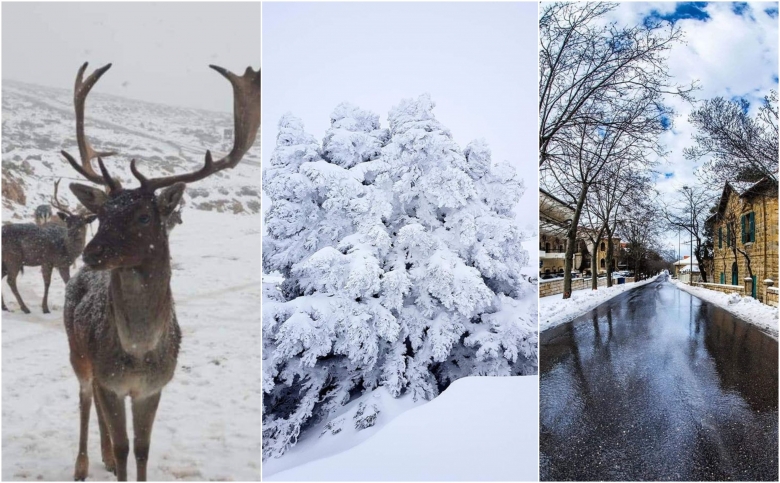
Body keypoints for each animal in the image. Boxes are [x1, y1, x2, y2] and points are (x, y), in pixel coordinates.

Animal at [0, 179, 97, 314]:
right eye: (68, 222)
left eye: (82, 223)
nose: (71, 233)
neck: (66, 249)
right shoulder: (46, 260)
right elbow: (47, 283)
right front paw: (45, 308)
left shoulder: (63, 264)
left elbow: (68, 282)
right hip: (13, 257)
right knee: (11, 280)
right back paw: (25, 308)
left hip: (6, 261)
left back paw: (4, 306)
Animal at [61, 62, 260, 482]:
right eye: (101, 213)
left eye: (142, 215)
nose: (91, 252)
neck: (138, 353)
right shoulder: (112, 381)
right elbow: (125, 448)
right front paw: (111, 458)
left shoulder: (152, 388)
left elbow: (141, 450)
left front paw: (120, 457)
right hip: (78, 353)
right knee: (85, 399)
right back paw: (83, 464)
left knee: (97, 407)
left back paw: (101, 455)